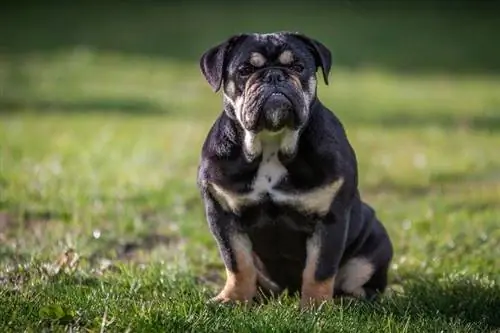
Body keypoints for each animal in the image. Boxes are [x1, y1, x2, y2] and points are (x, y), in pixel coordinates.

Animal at [197, 31, 392, 308]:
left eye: (298, 67)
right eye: (245, 70)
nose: (274, 75)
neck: (271, 144)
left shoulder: (330, 218)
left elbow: (320, 269)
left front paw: (316, 307)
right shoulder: (222, 214)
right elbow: (237, 263)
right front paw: (232, 299)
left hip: (375, 243)